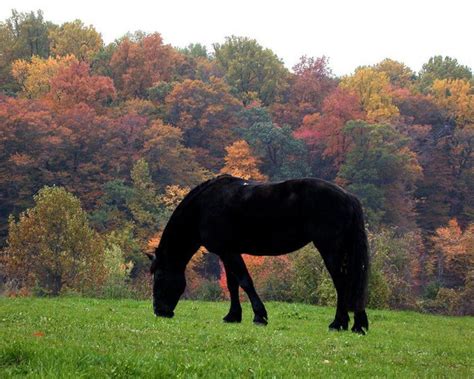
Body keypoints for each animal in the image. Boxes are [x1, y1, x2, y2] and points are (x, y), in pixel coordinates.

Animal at [148, 176, 370, 336]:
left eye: (159, 276)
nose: (159, 311)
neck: (203, 207)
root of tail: (348, 197)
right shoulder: (227, 252)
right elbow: (233, 284)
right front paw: (233, 316)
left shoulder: (229, 252)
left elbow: (245, 281)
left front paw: (259, 316)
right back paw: (356, 324)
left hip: (330, 249)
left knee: (342, 283)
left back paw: (338, 323)